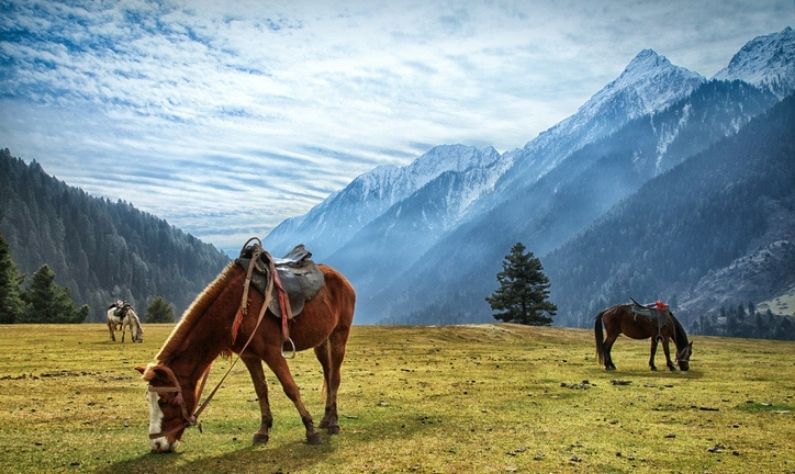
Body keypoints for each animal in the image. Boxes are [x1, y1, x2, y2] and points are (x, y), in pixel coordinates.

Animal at [136, 243, 354, 454]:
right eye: (149, 399)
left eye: (167, 400)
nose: (157, 445)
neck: (235, 307)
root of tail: (342, 279)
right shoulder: (249, 356)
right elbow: (261, 390)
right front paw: (263, 431)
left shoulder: (272, 352)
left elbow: (290, 388)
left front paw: (310, 430)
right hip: (321, 341)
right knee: (328, 374)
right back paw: (326, 419)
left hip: (339, 334)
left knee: (335, 377)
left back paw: (333, 424)